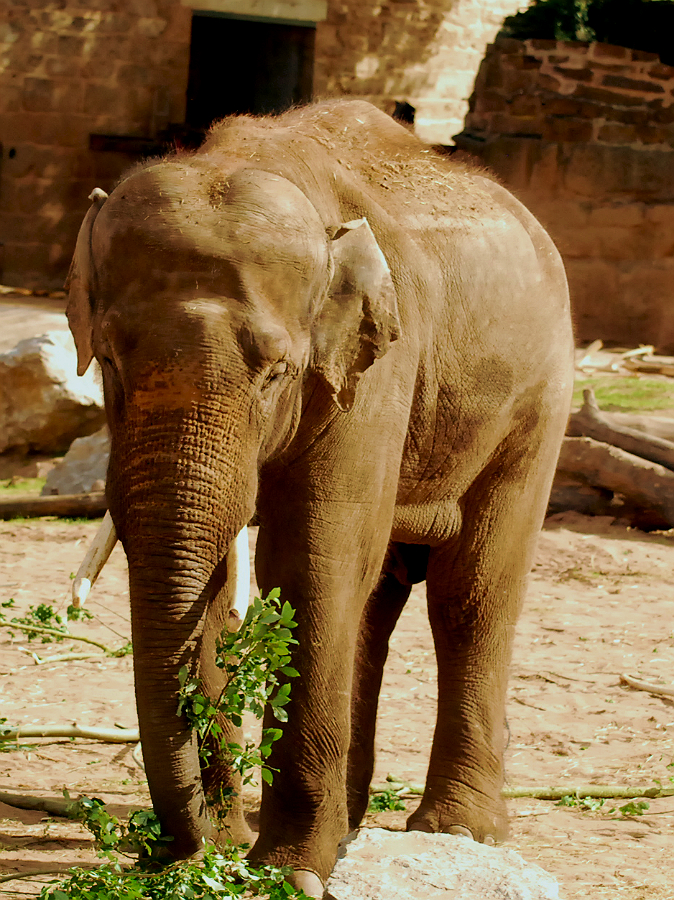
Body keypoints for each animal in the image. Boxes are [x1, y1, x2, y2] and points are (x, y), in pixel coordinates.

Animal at [66, 99, 573, 897]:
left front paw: (289, 873)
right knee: (379, 600)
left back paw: (458, 830)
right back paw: (354, 828)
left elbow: (310, 562)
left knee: (471, 589)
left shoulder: (378, 364)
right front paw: (225, 851)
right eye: (109, 360)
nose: (181, 851)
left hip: (537, 400)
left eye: (277, 372)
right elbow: (221, 580)